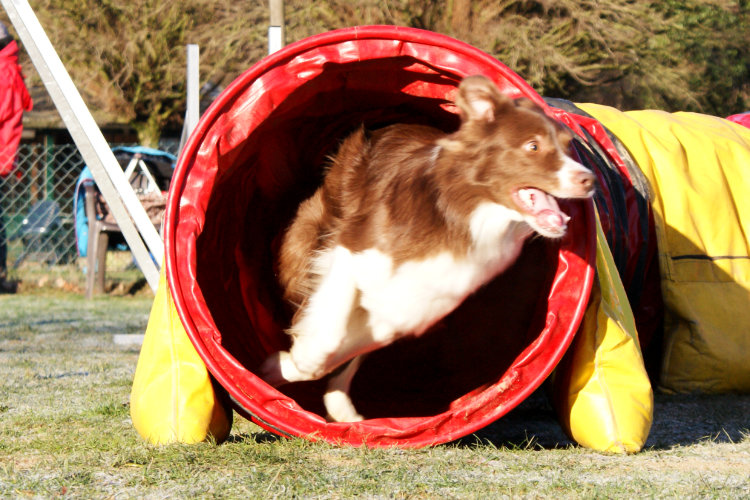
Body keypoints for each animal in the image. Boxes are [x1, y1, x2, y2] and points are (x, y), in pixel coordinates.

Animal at [262, 75, 596, 422]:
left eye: (567, 145)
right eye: (533, 146)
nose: (590, 180)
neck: (464, 216)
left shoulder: (417, 304)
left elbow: (347, 349)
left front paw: (299, 374)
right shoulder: (353, 249)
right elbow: (328, 338)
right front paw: (286, 363)